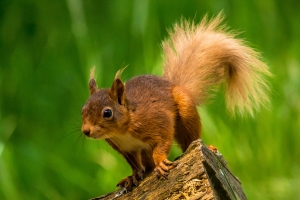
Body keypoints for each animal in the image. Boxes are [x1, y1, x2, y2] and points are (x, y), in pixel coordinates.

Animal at [81, 13, 270, 191]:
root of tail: (174, 85)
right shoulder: (126, 149)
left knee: (190, 140)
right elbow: (134, 164)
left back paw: (207, 146)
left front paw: (161, 163)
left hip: (185, 112)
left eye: (107, 113)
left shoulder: (157, 121)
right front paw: (133, 176)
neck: (123, 131)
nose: (86, 131)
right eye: (82, 110)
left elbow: (163, 141)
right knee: (147, 165)